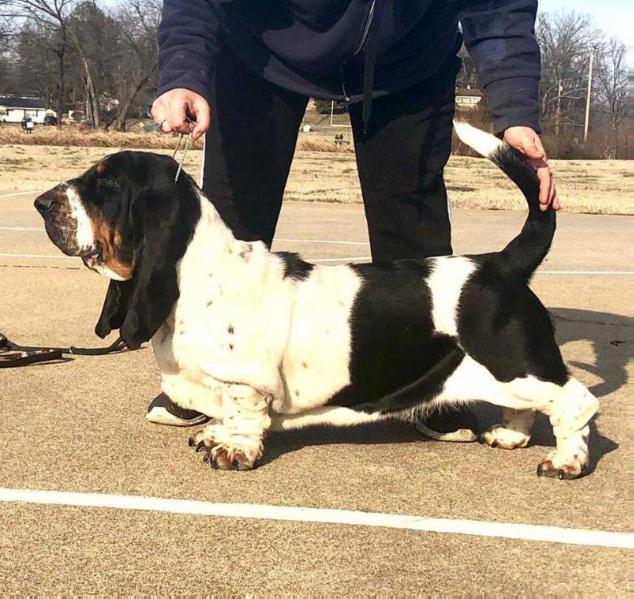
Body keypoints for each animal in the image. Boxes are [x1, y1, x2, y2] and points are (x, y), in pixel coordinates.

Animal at [34, 122, 596, 478]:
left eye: (105, 185)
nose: (41, 203)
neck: (197, 274)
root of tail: (501, 263)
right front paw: (213, 434)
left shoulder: (246, 383)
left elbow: (243, 417)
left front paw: (232, 451)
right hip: (512, 377)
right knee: (532, 409)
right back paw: (510, 436)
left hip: (516, 364)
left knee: (576, 403)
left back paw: (564, 462)